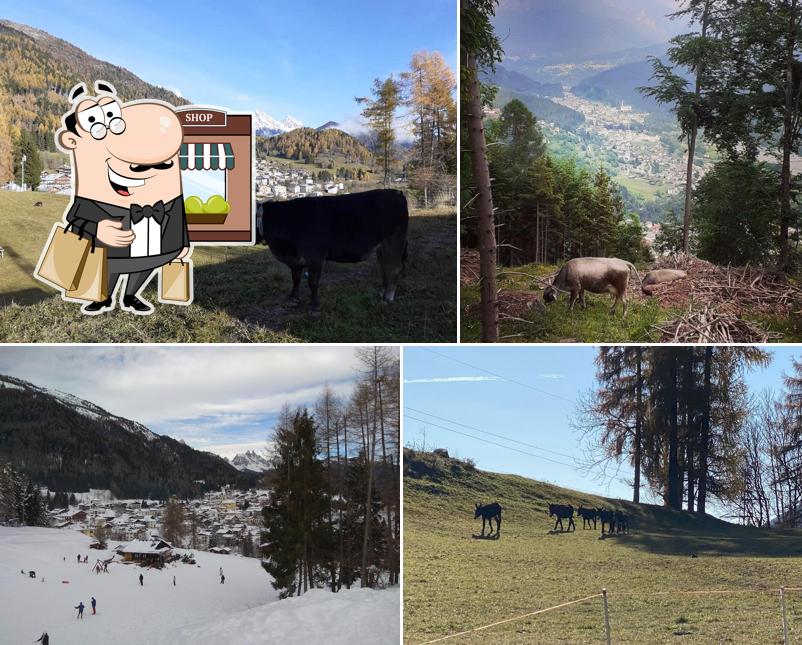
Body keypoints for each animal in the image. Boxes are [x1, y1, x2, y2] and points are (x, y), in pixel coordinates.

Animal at [255, 187, 406, 314]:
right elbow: (296, 279)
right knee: (385, 267)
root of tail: (396, 192)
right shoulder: (295, 259)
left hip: (393, 241)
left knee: (394, 268)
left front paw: (314, 307)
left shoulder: (315, 257)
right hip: (380, 248)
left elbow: (313, 282)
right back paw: (382, 292)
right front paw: (293, 299)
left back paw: (387, 298)